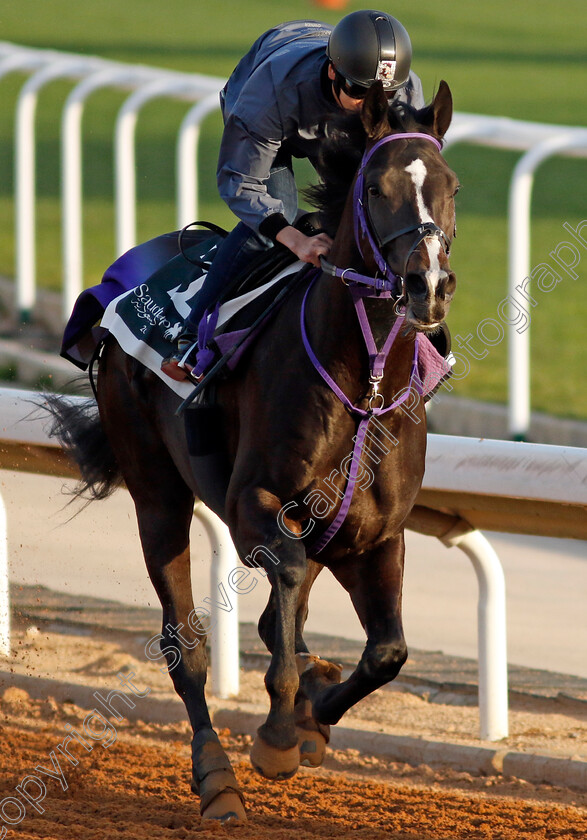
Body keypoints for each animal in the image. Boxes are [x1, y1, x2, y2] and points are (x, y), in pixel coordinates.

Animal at [46, 80, 460, 820]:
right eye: (376, 187)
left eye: (452, 187)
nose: (429, 285)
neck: (365, 381)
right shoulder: (252, 504)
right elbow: (286, 589)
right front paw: (277, 734)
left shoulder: (374, 534)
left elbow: (386, 651)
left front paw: (315, 713)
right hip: (157, 492)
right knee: (185, 644)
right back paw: (216, 776)